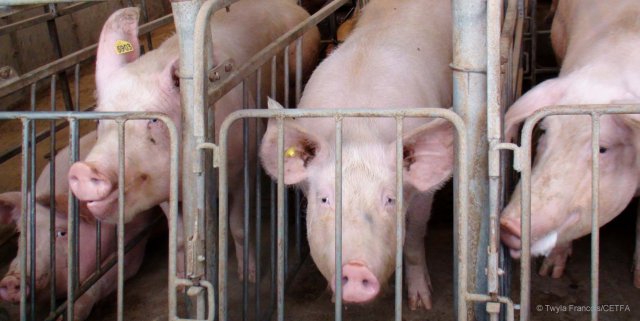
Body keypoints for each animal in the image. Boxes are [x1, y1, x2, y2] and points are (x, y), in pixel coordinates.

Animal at [66, 1, 320, 282]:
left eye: (153, 121)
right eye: (99, 121)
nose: (84, 170)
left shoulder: (243, 166)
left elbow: (238, 227)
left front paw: (249, 276)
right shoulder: (164, 190)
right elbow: (178, 238)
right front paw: (180, 276)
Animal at [258, 0, 452, 310]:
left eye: (390, 200)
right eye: (324, 199)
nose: (356, 268)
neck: (357, 132)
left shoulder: (425, 192)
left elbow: (413, 238)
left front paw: (421, 303)